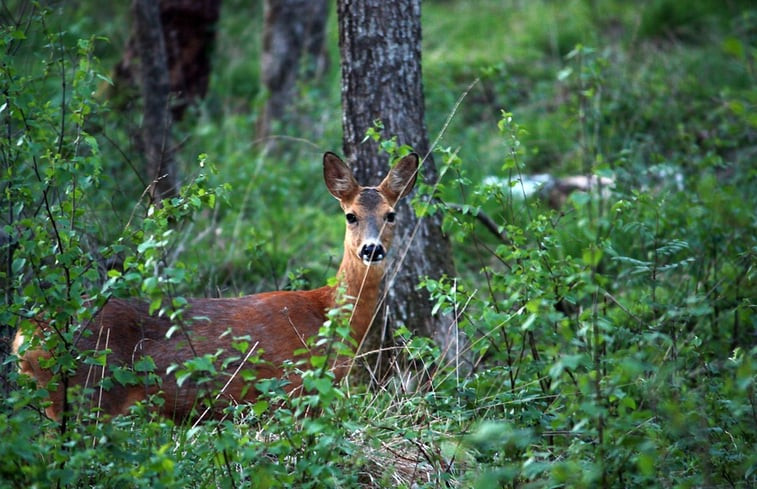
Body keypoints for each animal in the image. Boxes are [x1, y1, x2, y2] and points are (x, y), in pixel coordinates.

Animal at [11, 151, 416, 422]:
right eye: (350, 215)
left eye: (391, 214)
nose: (372, 249)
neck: (327, 315)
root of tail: (24, 337)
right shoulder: (288, 391)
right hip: (86, 394)